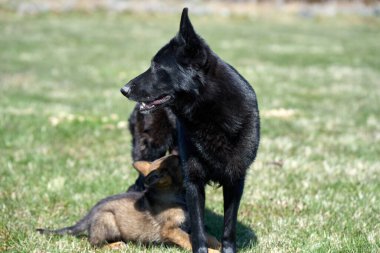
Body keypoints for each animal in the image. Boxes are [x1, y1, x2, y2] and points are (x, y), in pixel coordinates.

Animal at [36, 155, 220, 252]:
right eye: (179, 161)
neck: (174, 195)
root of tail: (89, 215)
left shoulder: (188, 226)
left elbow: (207, 236)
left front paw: (218, 244)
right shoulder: (171, 229)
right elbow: (188, 240)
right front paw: (212, 251)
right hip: (108, 219)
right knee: (94, 244)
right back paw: (115, 245)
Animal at [120, 8, 260, 253]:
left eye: (157, 66)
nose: (123, 90)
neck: (210, 113)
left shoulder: (235, 180)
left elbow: (229, 227)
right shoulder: (193, 181)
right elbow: (198, 228)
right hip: (150, 152)